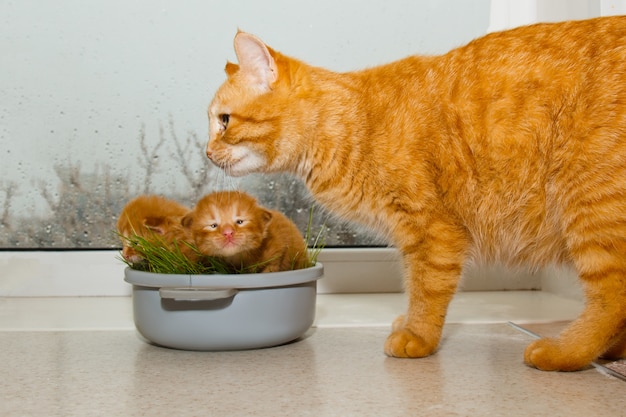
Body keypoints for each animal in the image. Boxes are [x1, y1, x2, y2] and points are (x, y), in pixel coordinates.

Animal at [204, 15, 624, 370]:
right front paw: (408, 323)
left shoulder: (431, 232)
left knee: (612, 299)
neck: (353, 125)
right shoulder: (411, 236)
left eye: (224, 121)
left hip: (590, 208)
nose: (207, 153)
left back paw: (565, 351)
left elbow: (426, 288)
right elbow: (414, 285)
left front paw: (418, 336)